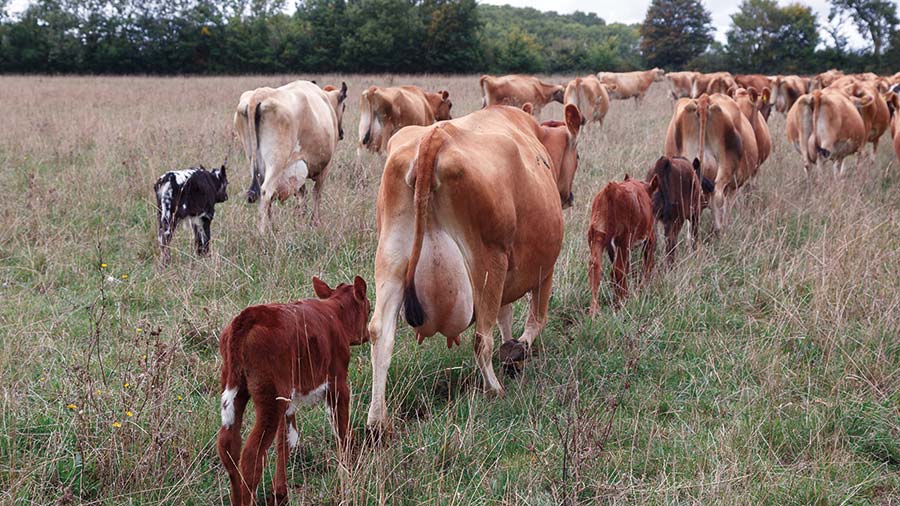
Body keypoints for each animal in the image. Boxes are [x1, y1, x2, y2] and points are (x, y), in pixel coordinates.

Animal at [217, 276, 370, 506]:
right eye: (369, 308)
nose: (368, 335)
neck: (335, 313)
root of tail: (247, 318)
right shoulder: (338, 382)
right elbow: (342, 429)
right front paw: (350, 471)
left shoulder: (289, 397)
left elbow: (286, 440)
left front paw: (280, 495)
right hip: (269, 397)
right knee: (252, 453)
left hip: (235, 387)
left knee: (228, 446)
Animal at [232, 80, 348, 230]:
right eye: (344, 107)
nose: (341, 132)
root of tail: (260, 94)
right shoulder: (325, 167)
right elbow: (316, 194)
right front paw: (315, 222)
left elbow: (302, 194)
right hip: (276, 162)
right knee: (266, 192)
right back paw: (263, 232)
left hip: (254, 162)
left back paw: (272, 227)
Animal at [366, 105, 584, 432]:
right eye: (578, 156)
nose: (568, 195)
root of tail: (434, 138)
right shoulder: (545, 269)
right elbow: (535, 320)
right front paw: (517, 351)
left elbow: (506, 315)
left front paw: (512, 350)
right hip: (488, 261)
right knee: (482, 338)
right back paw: (494, 388)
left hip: (390, 259)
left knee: (380, 333)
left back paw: (377, 420)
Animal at [588, 176, 656, 314]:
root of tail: (611, 189)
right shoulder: (650, 237)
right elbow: (647, 265)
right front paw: (642, 289)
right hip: (623, 240)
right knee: (618, 270)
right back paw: (622, 301)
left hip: (597, 237)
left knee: (596, 267)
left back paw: (595, 309)